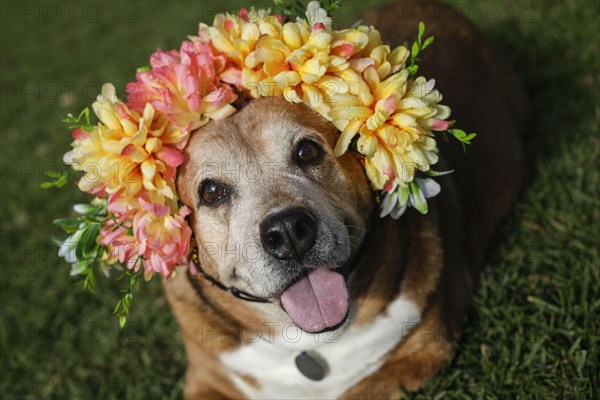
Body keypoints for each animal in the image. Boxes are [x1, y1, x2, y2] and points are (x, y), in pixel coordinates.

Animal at [164, 1, 524, 398]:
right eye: (212, 192)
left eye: (307, 151)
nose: (287, 231)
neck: (312, 345)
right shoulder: (205, 377)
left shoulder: (425, 346)